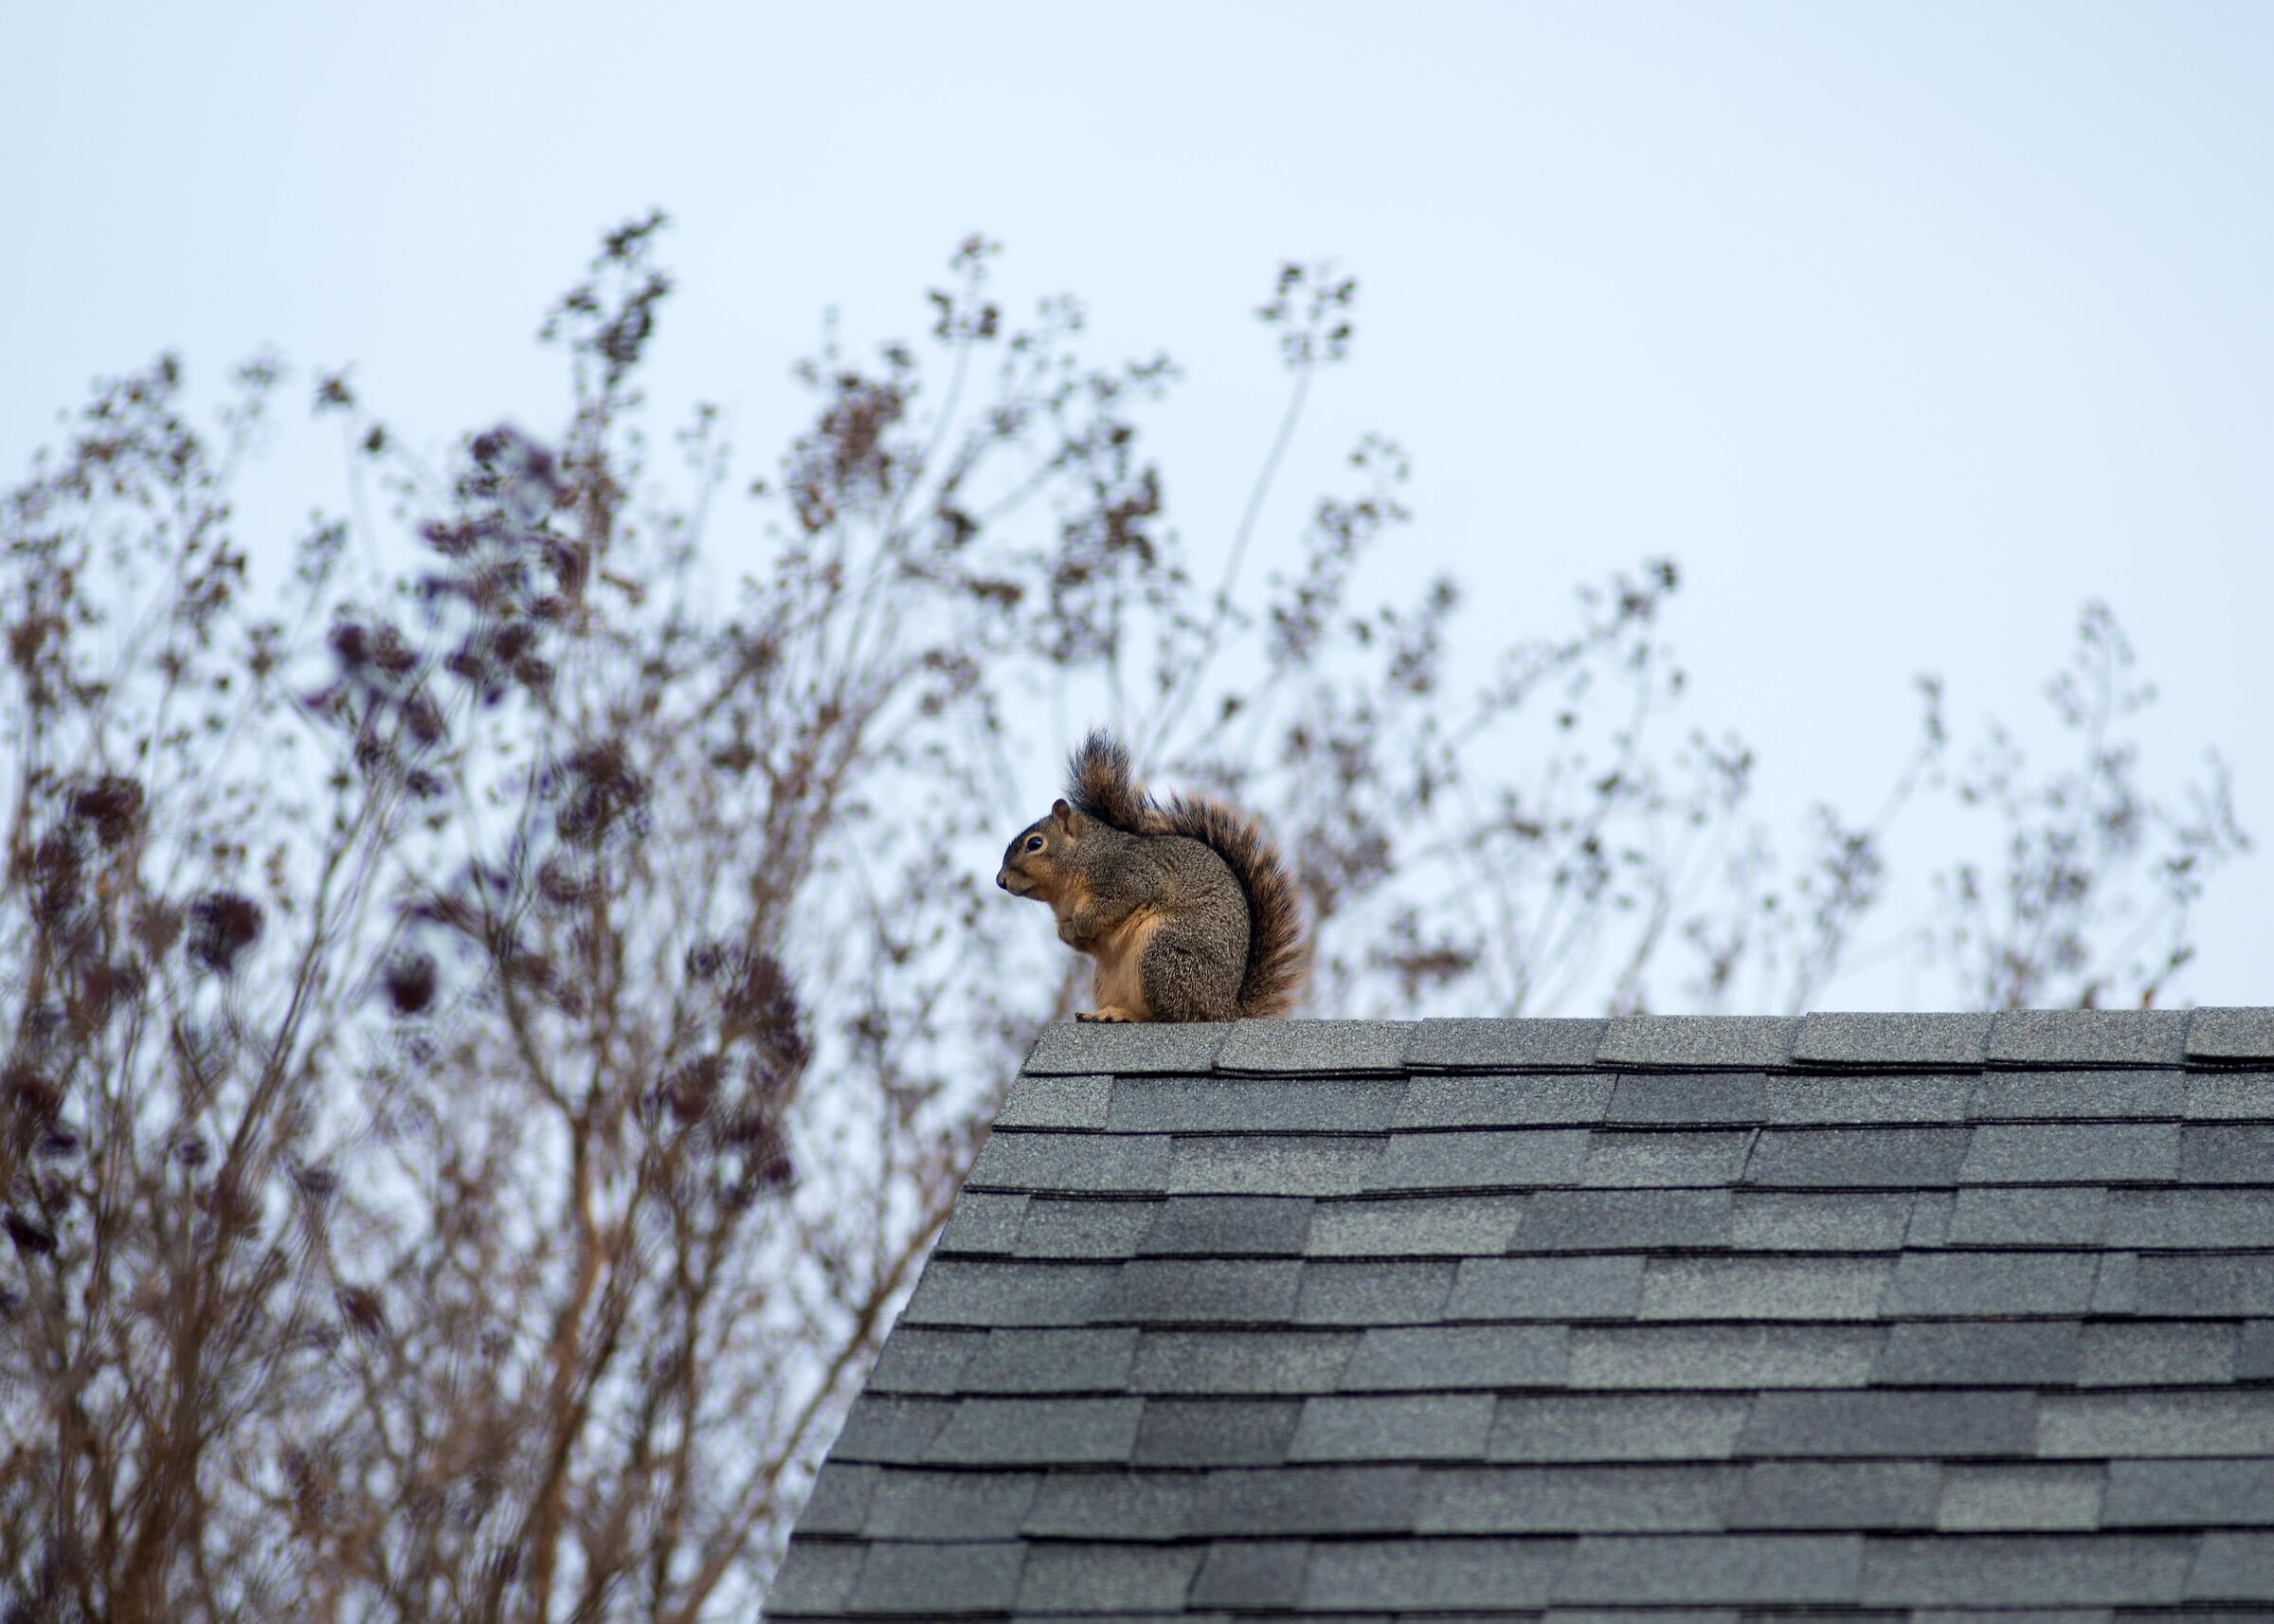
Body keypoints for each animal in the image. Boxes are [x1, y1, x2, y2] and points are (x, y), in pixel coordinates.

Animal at [997, 731, 1309, 1023]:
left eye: (1035, 844)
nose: (1000, 881)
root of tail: (1224, 1009)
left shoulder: (1131, 875)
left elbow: (1117, 901)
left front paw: (1082, 922)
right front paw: (1067, 932)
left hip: (1163, 953)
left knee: (1173, 1014)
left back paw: (1125, 1014)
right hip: (1110, 977)